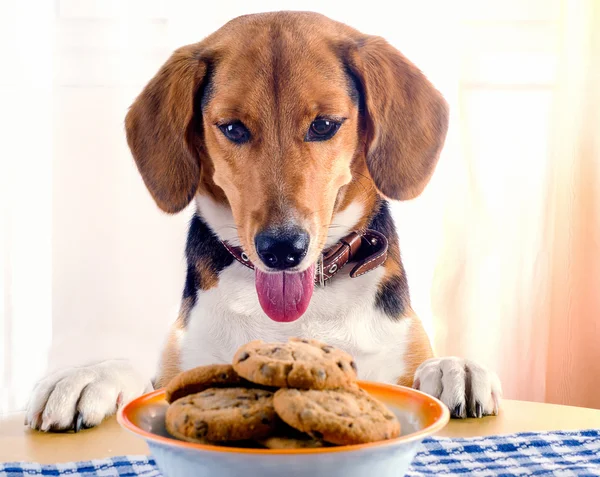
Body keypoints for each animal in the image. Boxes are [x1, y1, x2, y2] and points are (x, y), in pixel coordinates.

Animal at [25, 10, 502, 432]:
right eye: (232, 128)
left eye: (324, 125)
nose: (282, 249)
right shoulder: (183, 364)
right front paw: (88, 377)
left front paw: (456, 368)